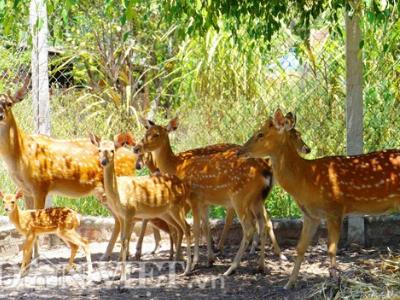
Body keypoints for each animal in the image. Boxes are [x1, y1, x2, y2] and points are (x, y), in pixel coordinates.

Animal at [90, 134, 192, 282]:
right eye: (99, 150)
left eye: (112, 150)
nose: (103, 161)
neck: (119, 195)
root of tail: (183, 186)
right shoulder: (121, 216)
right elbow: (122, 240)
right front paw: (117, 275)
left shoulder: (130, 212)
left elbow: (125, 240)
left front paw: (123, 277)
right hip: (166, 212)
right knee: (178, 229)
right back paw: (176, 263)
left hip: (177, 207)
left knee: (187, 228)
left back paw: (188, 270)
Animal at [133, 116, 310, 274]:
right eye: (145, 133)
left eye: (156, 134)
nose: (136, 148)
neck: (177, 166)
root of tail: (266, 169)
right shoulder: (204, 201)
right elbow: (206, 226)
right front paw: (209, 260)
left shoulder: (193, 197)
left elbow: (195, 228)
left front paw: (194, 263)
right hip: (256, 199)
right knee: (263, 223)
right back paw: (261, 266)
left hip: (239, 196)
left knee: (250, 227)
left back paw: (232, 268)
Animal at [236, 109, 400, 290]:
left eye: (260, 134)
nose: (239, 151)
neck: (306, 178)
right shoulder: (310, 215)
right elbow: (300, 248)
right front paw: (289, 283)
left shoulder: (335, 208)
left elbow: (331, 249)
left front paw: (334, 282)